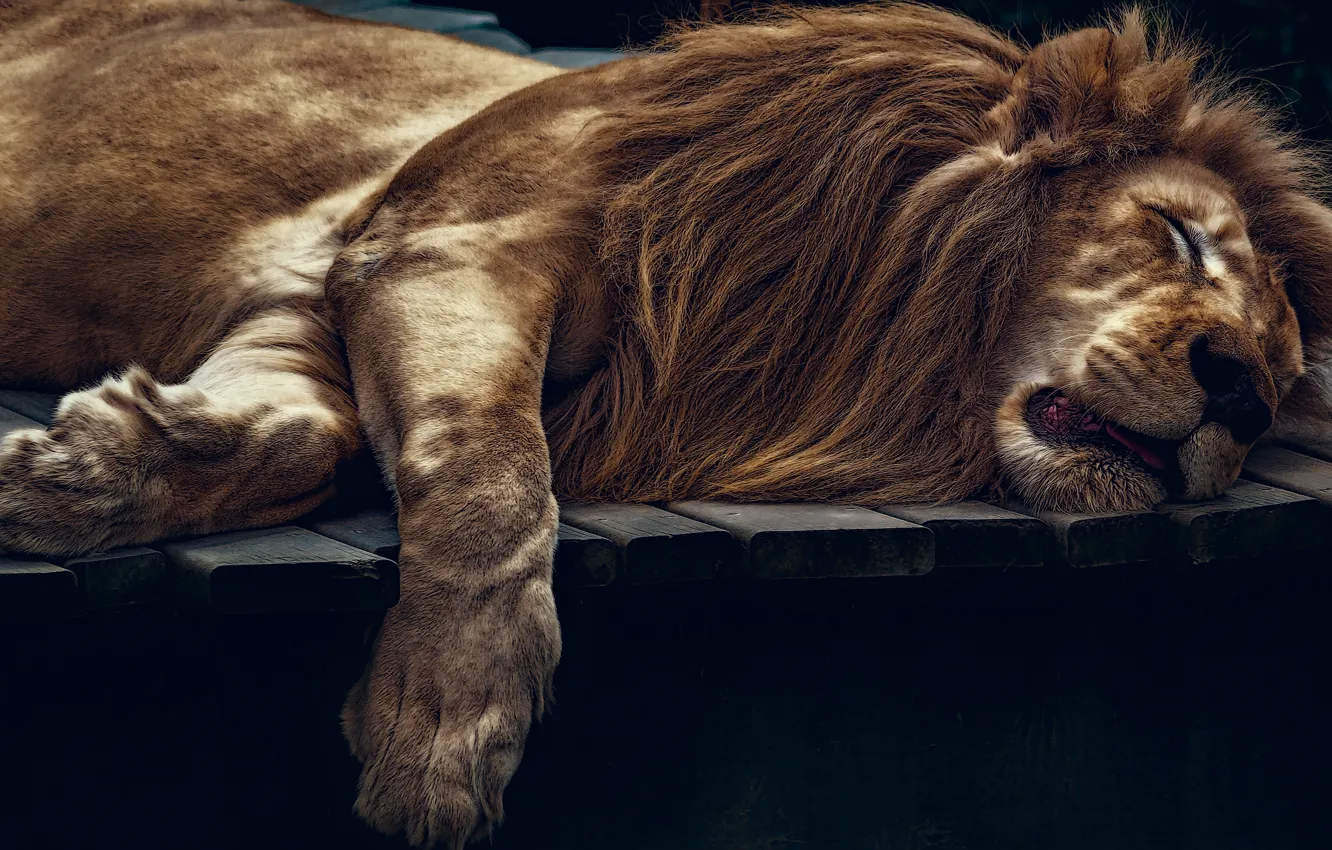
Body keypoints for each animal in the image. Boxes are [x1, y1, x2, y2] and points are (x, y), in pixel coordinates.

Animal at [4, 0, 1332, 846]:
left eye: (1280, 369)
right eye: (1175, 233)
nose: (1239, 390)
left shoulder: (311, 306)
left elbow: (304, 438)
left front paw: (77, 469)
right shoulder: (436, 245)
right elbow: (494, 474)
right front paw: (445, 729)